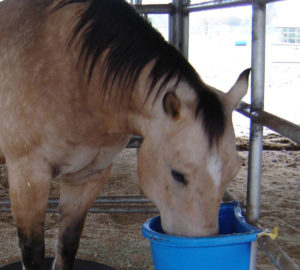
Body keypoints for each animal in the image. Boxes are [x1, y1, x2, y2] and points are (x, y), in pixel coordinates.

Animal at [0, 0, 251, 268]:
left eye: (234, 171)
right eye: (178, 174)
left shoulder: (88, 176)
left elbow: (67, 244)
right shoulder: (28, 176)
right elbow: (33, 252)